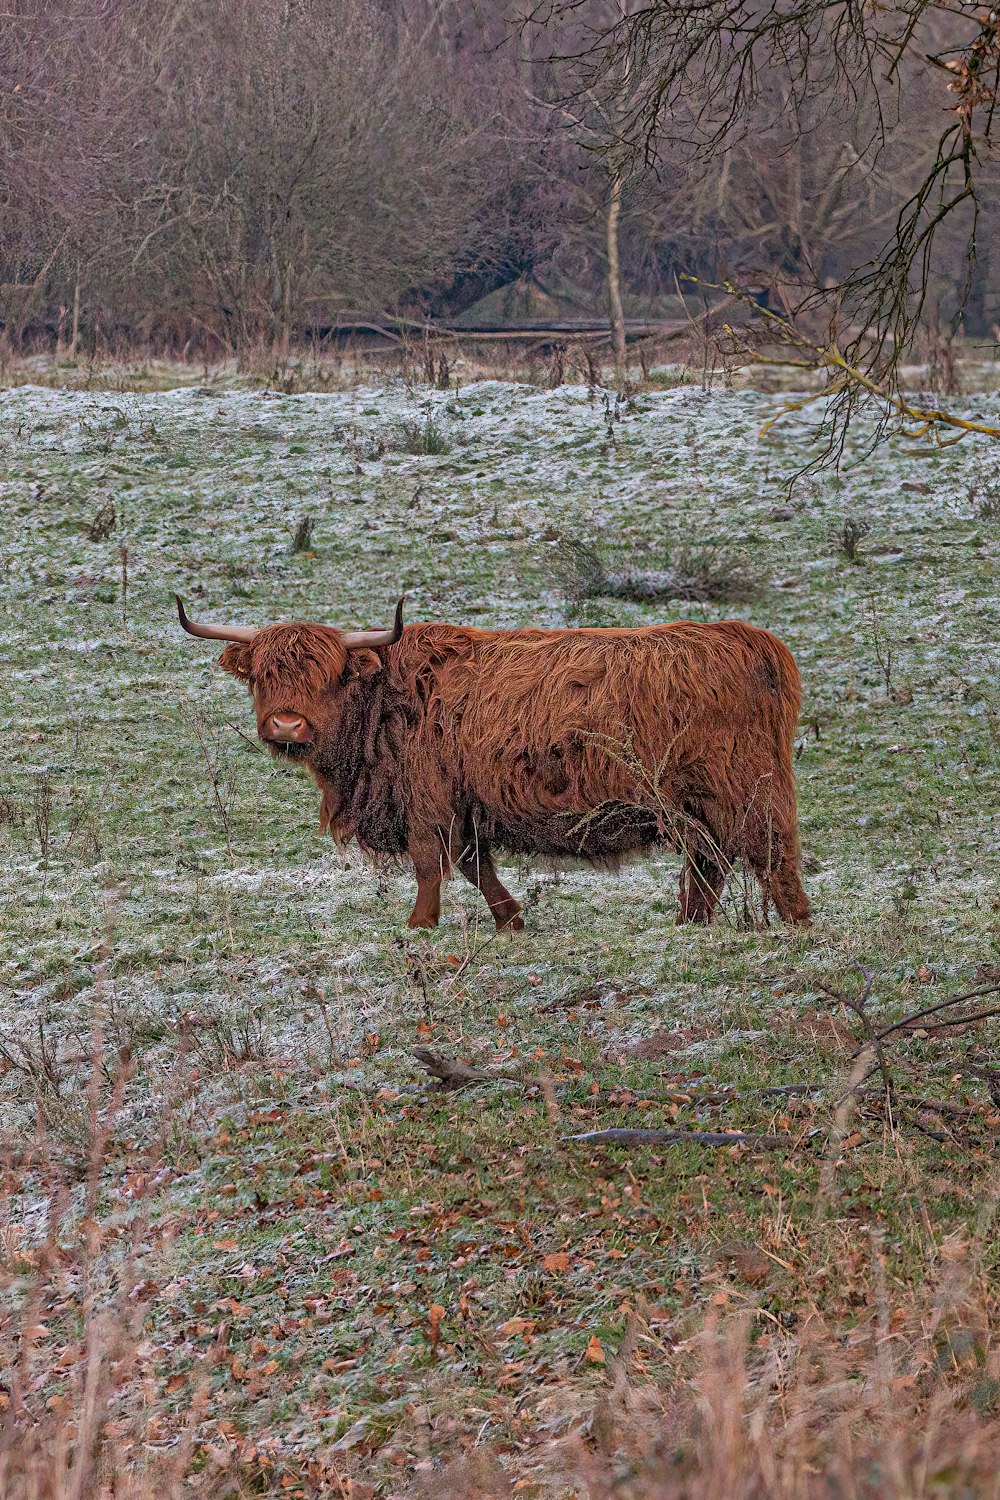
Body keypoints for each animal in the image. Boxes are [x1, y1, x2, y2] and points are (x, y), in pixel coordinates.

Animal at [173, 594, 815, 924]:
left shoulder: (428, 797)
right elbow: (475, 863)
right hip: (692, 804)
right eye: (264, 676)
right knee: (710, 860)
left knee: (770, 852)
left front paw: (420, 924)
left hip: (743, 788)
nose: (287, 724)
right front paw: (511, 919)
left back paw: (794, 922)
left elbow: (430, 861)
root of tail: (756, 642)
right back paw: (689, 923)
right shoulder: (466, 801)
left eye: (326, 676)